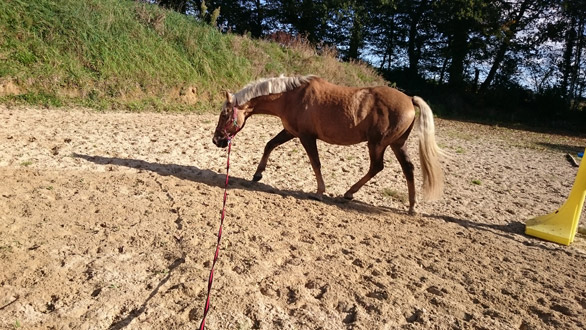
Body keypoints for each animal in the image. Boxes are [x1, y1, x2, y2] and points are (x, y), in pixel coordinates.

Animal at [212, 75, 444, 214]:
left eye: (225, 114)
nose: (216, 140)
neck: (292, 97)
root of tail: (409, 99)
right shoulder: (291, 132)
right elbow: (269, 145)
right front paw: (258, 174)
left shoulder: (306, 137)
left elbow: (316, 162)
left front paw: (319, 192)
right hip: (397, 144)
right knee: (408, 169)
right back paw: (411, 207)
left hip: (377, 144)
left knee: (377, 167)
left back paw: (349, 193)